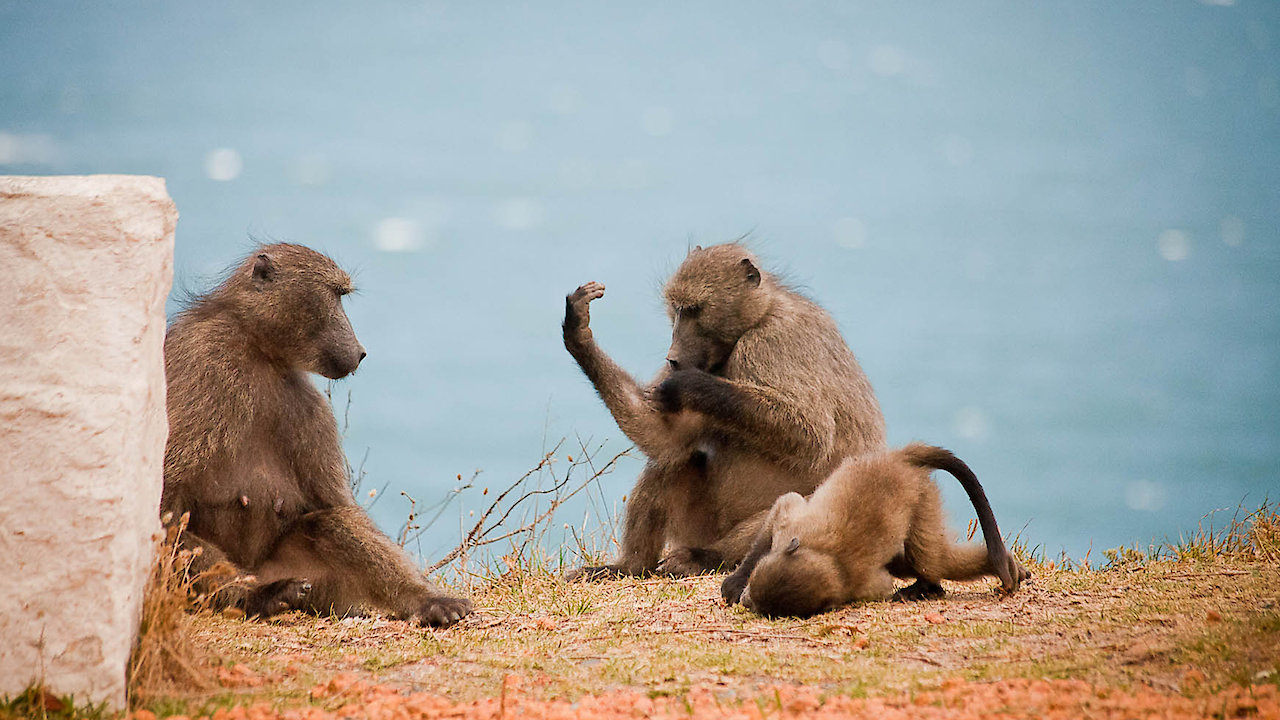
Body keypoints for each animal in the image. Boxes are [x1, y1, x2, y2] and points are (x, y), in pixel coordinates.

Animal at [161, 243, 472, 627]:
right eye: (336, 296)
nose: (360, 352)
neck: (257, 348)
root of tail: (256, 571)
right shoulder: (204, 361)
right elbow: (166, 498)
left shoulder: (308, 404)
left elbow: (335, 506)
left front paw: (427, 598)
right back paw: (259, 597)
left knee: (330, 523)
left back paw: (426, 603)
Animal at [562, 243, 890, 580]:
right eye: (677, 310)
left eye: (695, 310)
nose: (673, 359)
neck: (759, 316)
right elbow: (664, 436)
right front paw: (579, 330)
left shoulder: (775, 340)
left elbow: (810, 434)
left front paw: (690, 385)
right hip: (700, 526)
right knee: (670, 461)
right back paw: (629, 567)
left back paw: (705, 558)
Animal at [720, 443, 1030, 618]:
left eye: (761, 606)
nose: (746, 599)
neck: (832, 563)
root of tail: (900, 460)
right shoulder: (790, 531)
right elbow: (785, 504)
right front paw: (734, 583)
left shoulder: (864, 587)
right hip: (922, 491)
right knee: (925, 559)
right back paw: (1003, 564)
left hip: (920, 493)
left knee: (926, 559)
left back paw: (932, 586)